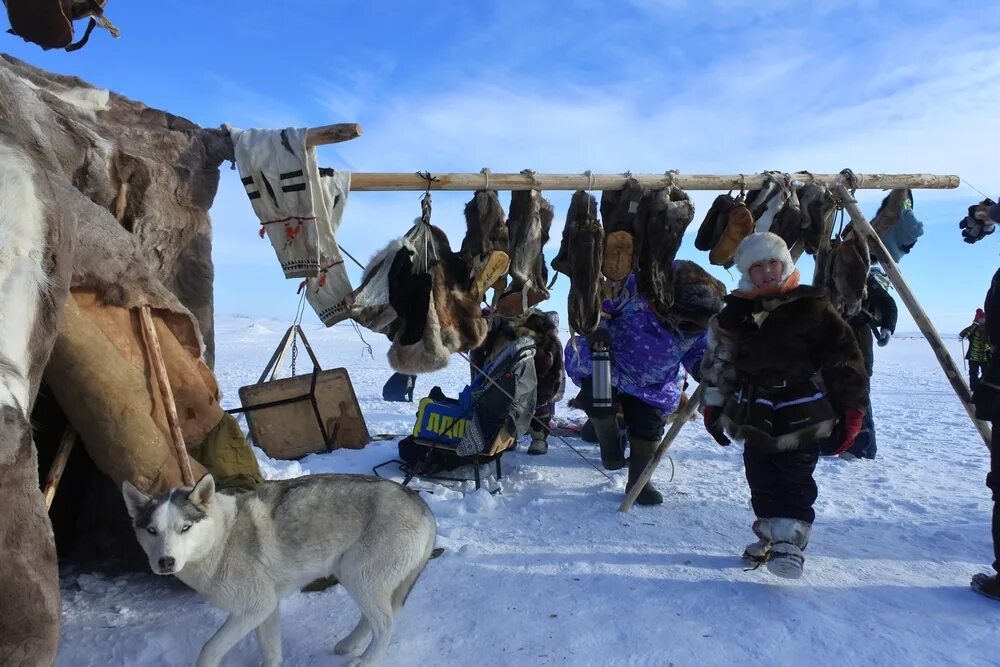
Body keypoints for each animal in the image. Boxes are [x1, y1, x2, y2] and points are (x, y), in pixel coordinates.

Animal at [122, 474, 438, 667]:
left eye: (185, 528)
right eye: (152, 531)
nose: (166, 561)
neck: (221, 538)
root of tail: (421, 504)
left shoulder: (255, 607)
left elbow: (209, 649)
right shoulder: (267, 607)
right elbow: (271, 651)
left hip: (357, 575)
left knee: (385, 624)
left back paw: (367, 659)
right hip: (358, 577)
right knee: (373, 618)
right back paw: (349, 645)